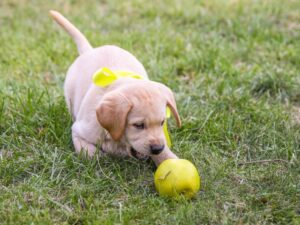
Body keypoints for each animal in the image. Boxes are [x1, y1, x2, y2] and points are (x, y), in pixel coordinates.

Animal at [49, 10, 180, 165]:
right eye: (139, 125)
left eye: (162, 122)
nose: (157, 148)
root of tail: (90, 50)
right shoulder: (78, 130)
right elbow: (85, 150)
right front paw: (94, 155)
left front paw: (170, 159)